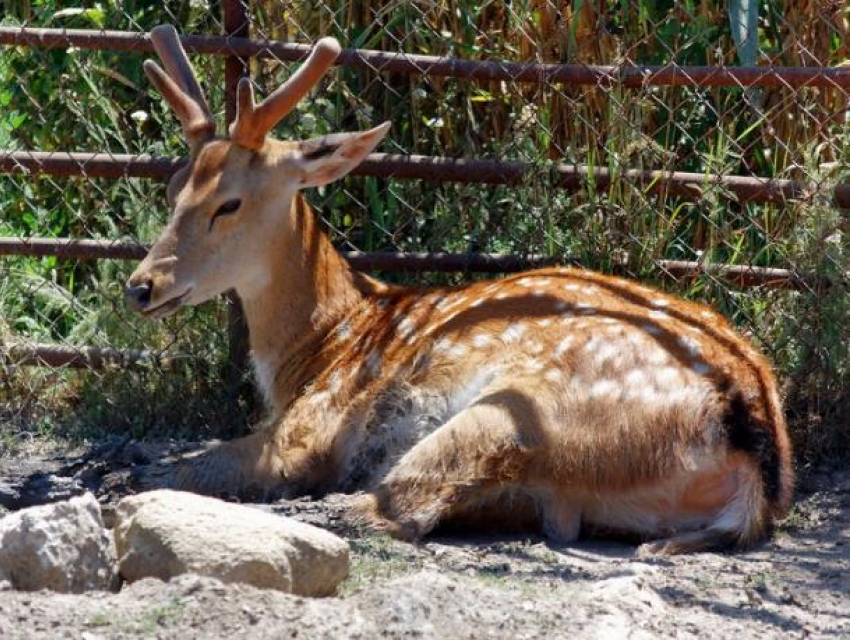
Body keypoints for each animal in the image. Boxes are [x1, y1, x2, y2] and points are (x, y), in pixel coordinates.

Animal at [122, 25, 792, 556]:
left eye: (229, 203)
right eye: (173, 186)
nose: (141, 286)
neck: (320, 346)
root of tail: (757, 458)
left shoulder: (309, 431)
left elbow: (195, 464)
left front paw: (119, 475)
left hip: (518, 410)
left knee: (390, 510)